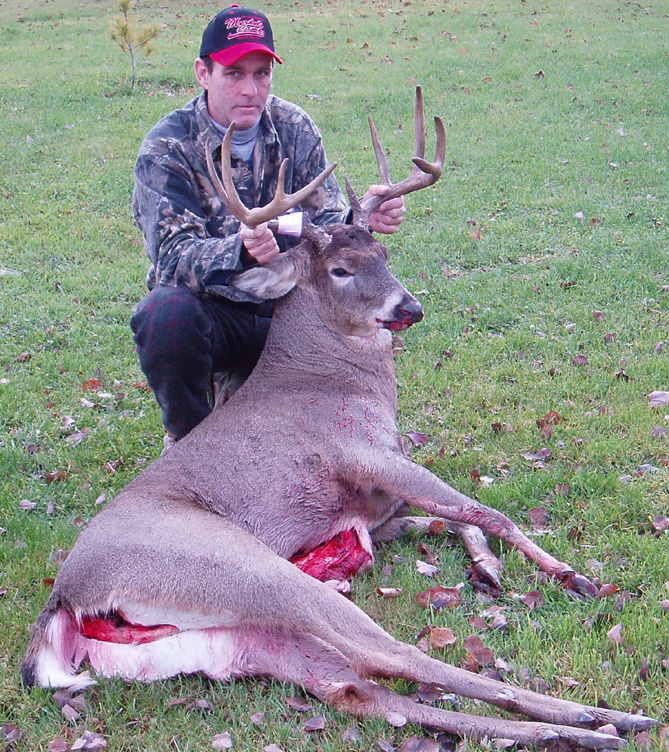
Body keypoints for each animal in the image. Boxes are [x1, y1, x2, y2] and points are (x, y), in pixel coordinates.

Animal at [22, 89, 656, 749]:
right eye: (341, 270)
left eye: (384, 253)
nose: (410, 307)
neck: (334, 378)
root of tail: (63, 599)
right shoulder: (364, 454)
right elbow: (484, 510)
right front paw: (570, 575)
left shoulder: (374, 506)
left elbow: (449, 519)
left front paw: (488, 568)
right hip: (245, 569)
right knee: (395, 657)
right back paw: (603, 717)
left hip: (236, 639)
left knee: (356, 691)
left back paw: (594, 727)